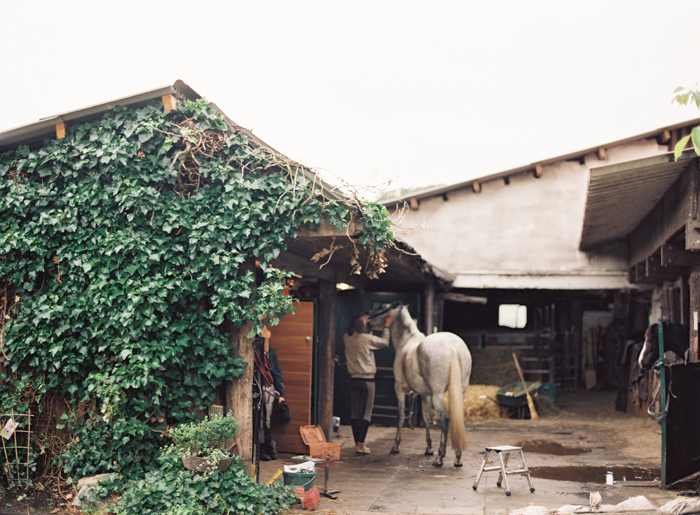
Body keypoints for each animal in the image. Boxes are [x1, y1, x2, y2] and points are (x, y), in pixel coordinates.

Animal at [386, 304, 474, 470]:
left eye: (381, 308)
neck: (406, 341)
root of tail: (452, 345)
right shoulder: (425, 394)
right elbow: (426, 418)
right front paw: (428, 449)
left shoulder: (399, 388)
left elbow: (401, 416)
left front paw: (395, 446)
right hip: (460, 392)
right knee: (457, 418)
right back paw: (458, 458)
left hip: (438, 394)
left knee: (445, 418)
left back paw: (439, 458)